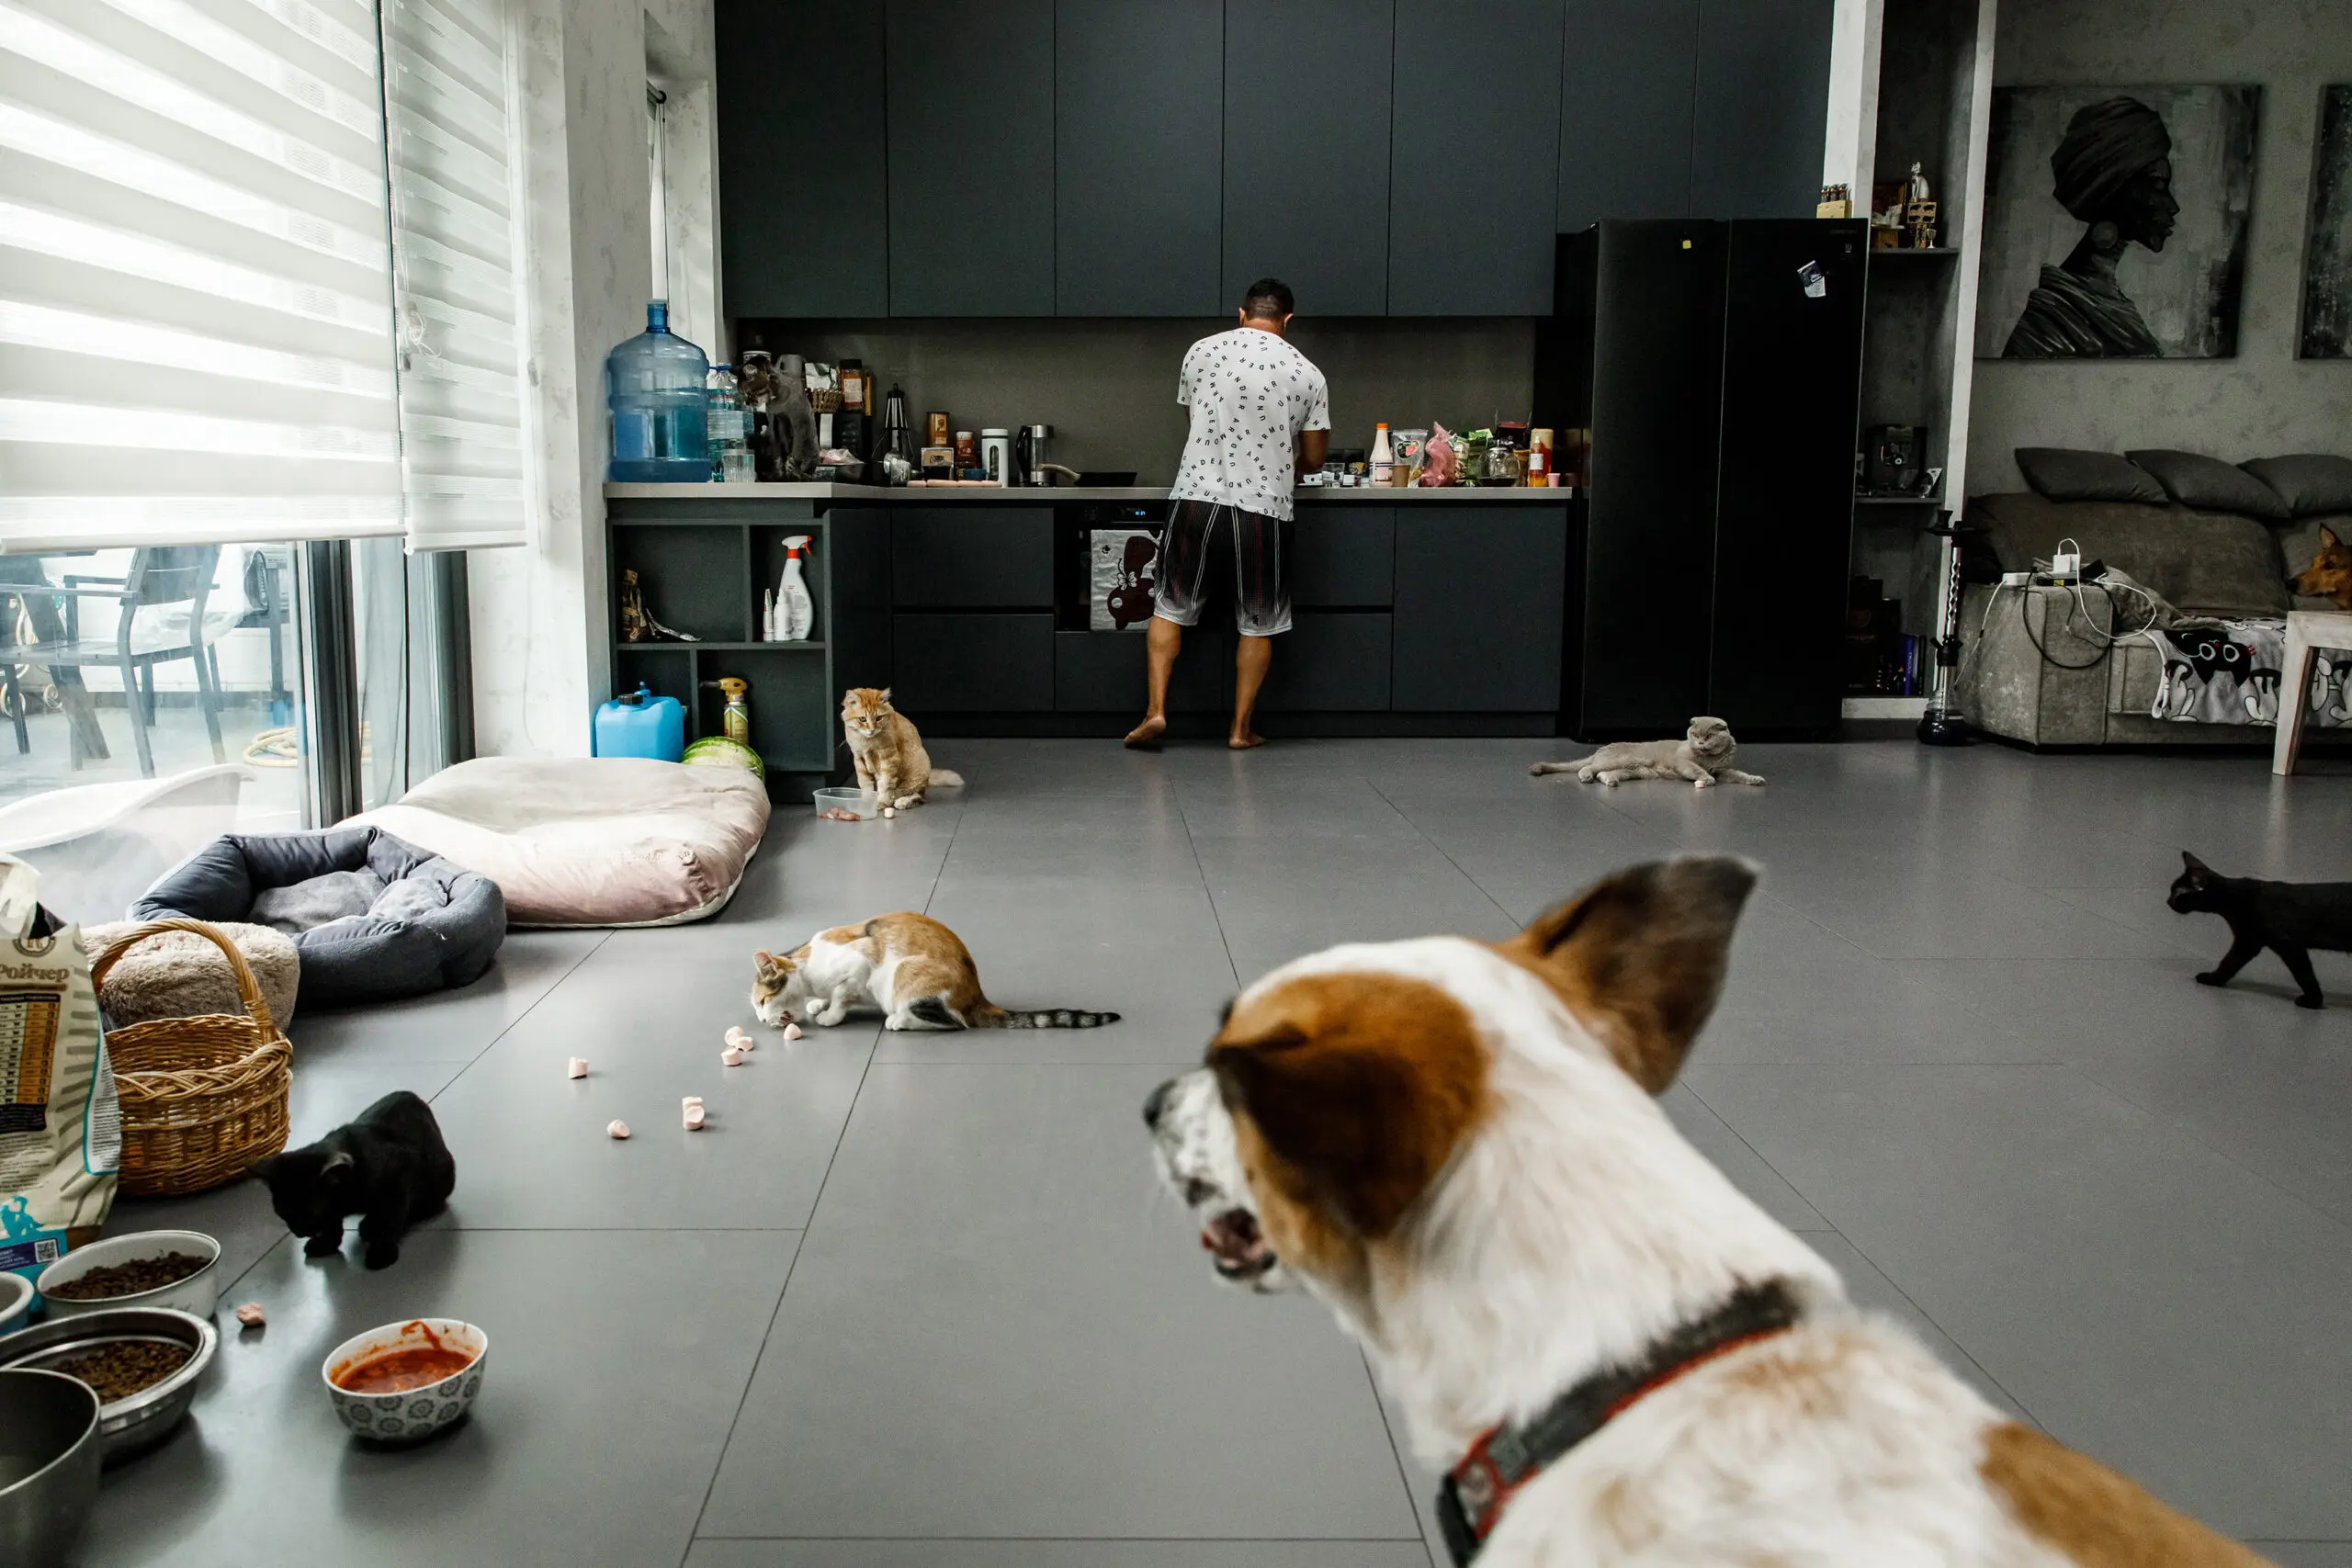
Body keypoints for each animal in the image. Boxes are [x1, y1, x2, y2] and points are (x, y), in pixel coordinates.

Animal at [246, 1100, 454, 1269]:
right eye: (282, 1212)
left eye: (308, 1213)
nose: (298, 1233)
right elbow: (331, 1222)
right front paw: (326, 1243)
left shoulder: (399, 1174)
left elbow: (392, 1217)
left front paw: (383, 1251)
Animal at [842, 686, 959, 808]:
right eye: (862, 719)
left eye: (878, 718)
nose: (872, 730)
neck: (867, 741)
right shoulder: (859, 759)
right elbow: (865, 784)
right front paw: (866, 803)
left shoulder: (889, 758)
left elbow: (885, 784)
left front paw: (882, 802)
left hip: (916, 775)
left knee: (918, 796)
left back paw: (903, 802)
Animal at [2164, 851, 2352, 1010]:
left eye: (2176, 892)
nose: (2167, 901)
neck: (2235, 896)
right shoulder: (2248, 941)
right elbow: (2229, 963)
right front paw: (2215, 980)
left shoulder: (2287, 944)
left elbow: (2304, 974)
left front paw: (2313, 1001)